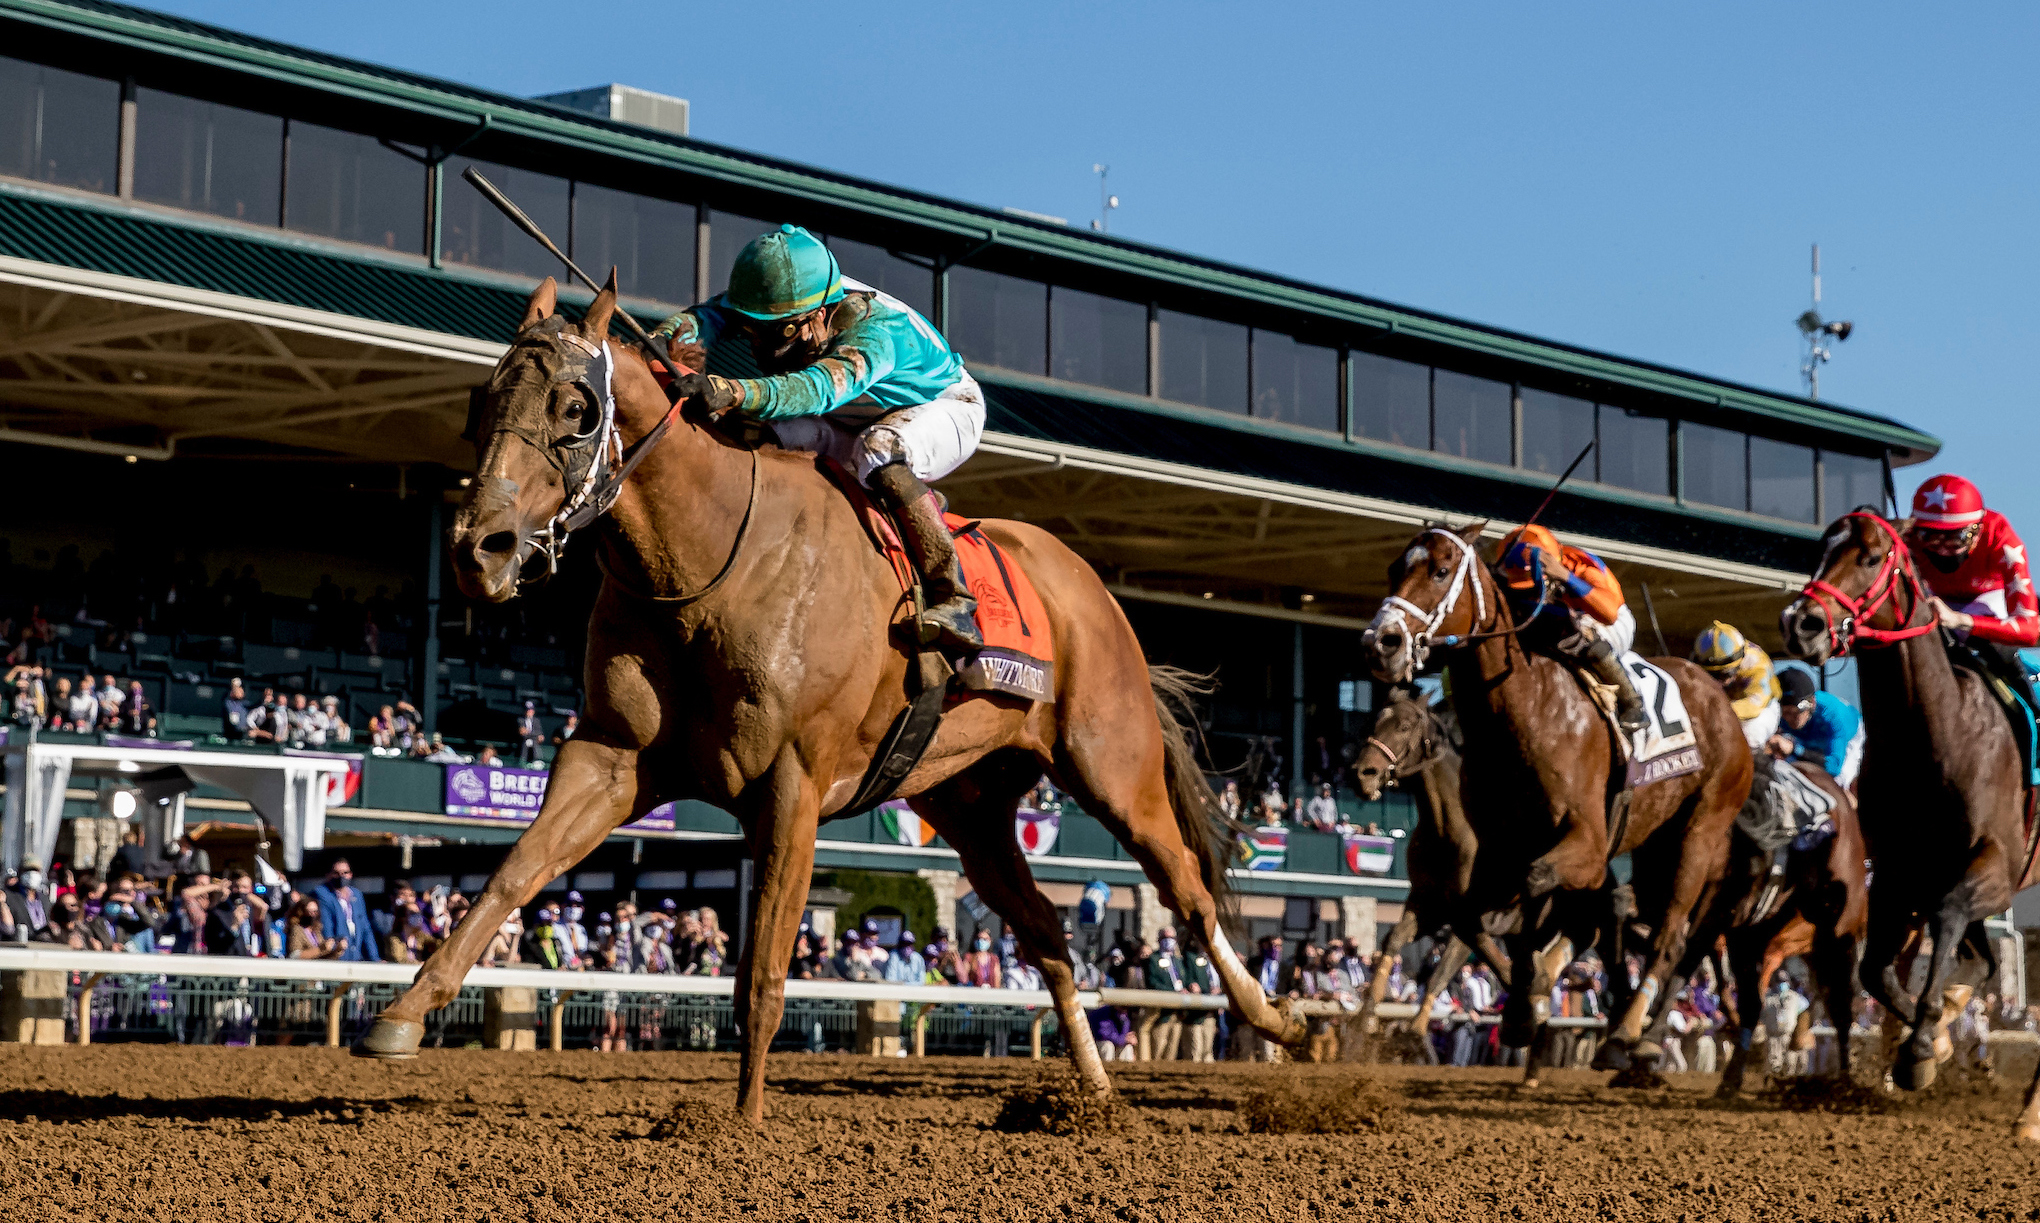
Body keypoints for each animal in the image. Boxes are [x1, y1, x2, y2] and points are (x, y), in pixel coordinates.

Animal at [350, 279, 1305, 1117]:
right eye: (484, 400)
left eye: (576, 408)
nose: (479, 548)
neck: (709, 557)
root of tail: (1091, 585)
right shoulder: (611, 756)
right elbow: (514, 870)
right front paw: (400, 1015)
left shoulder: (792, 783)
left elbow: (764, 965)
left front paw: (738, 1119)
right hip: (971, 806)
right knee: (1048, 932)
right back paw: (1096, 1095)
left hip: (1111, 762)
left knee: (1188, 888)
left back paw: (1277, 1019)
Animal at [1362, 521, 1746, 1068]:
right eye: (1395, 568)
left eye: (1440, 570)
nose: (1382, 642)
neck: (1525, 712)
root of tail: (1719, 695)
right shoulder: (1491, 860)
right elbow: (1472, 920)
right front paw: (1529, 999)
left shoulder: (1586, 846)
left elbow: (1536, 882)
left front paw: (1530, 1000)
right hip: (1655, 845)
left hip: (1700, 834)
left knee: (1672, 938)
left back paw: (1627, 1035)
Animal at [1778, 509, 2031, 1133]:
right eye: (1821, 551)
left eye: (1871, 557)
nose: (1802, 622)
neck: (1936, 735)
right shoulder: (1895, 875)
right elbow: (1875, 973)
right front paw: (1928, 1044)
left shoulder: (1995, 868)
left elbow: (1951, 912)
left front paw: (1920, 1048)